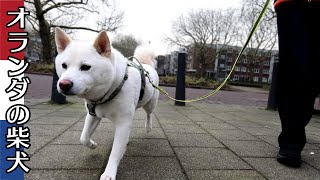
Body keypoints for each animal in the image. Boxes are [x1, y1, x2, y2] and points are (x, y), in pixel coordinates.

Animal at [55, 27, 160, 179]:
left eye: (85, 67)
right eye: (64, 65)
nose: (63, 84)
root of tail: (146, 64)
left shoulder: (123, 123)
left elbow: (115, 152)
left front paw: (109, 173)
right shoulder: (93, 114)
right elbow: (83, 137)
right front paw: (92, 145)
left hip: (150, 103)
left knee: (149, 114)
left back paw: (148, 127)